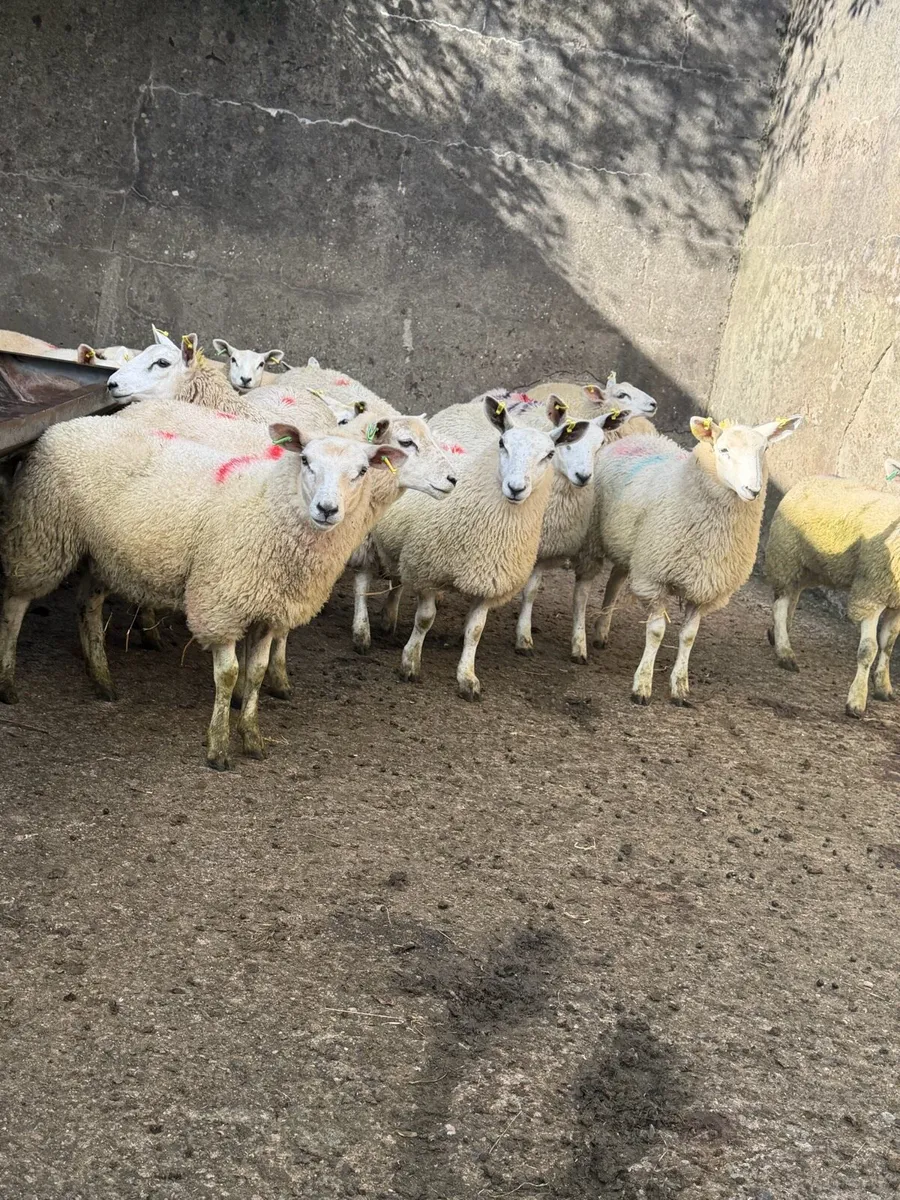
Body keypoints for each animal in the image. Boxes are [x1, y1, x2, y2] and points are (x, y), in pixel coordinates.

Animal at [0, 417, 406, 768]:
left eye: (362, 471)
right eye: (305, 460)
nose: (327, 509)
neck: (269, 506)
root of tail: (62, 426)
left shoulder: (268, 610)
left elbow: (256, 673)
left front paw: (252, 738)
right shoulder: (220, 604)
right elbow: (228, 675)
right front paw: (218, 747)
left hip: (103, 553)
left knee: (87, 605)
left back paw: (102, 680)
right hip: (43, 533)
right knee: (15, 603)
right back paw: (8, 681)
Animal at [371, 394, 589, 699]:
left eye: (549, 455)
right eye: (502, 444)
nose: (516, 488)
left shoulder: (490, 583)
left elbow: (476, 631)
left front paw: (467, 677)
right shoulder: (427, 571)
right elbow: (424, 619)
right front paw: (410, 663)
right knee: (395, 580)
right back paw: (387, 619)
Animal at [590, 414, 803, 705]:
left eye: (765, 450)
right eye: (723, 450)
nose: (753, 490)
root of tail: (640, 436)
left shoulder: (705, 587)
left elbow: (688, 637)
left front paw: (680, 686)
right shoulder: (655, 578)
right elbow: (656, 632)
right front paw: (642, 685)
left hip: (630, 548)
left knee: (614, 581)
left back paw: (602, 630)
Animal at [764, 463, 900, 717]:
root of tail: (812, 477)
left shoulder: (896, 601)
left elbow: (888, 644)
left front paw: (883, 687)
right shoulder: (870, 591)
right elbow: (869, 649)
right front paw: (857, 700)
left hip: (810, 565)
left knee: (793, 595)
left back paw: (776, 633)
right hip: (786, 552)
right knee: (781, 602)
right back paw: (784, 651)